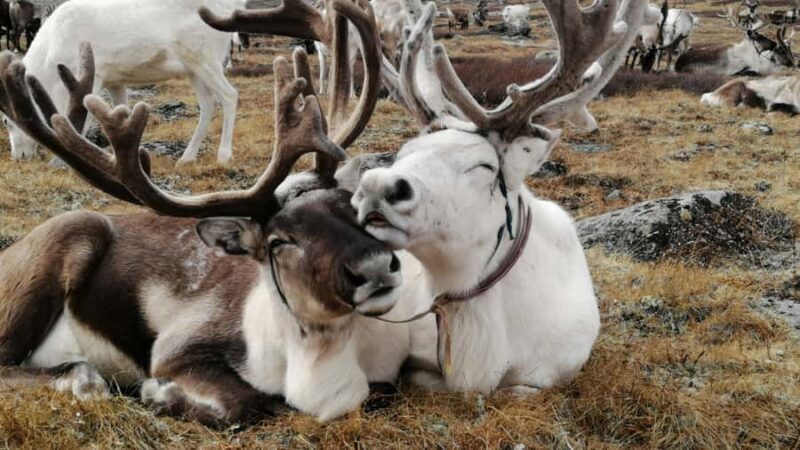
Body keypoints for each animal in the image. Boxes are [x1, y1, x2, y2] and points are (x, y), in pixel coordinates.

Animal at [3, 0, 243, 166]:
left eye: (6, 121)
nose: (18, 156)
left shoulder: (88, 78)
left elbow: (79, 119)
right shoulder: (114, 81)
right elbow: (122, 113)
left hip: (205, 60)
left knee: (229, 95)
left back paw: (224, 155)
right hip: (193, 70)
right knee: (208, 104)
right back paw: (187, 157)